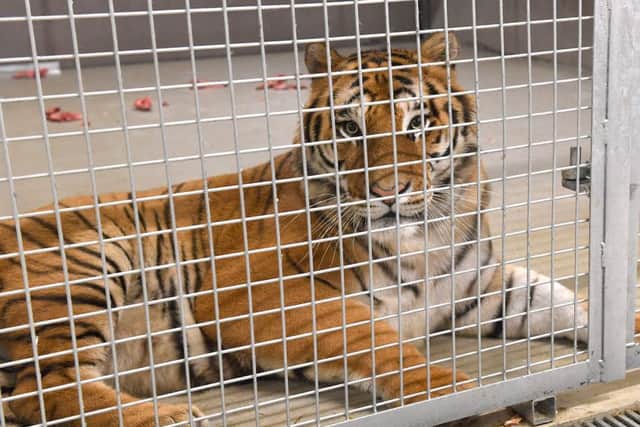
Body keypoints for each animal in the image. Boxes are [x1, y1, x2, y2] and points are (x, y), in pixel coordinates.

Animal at [1, 31, 638, 426]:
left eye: (417, 124)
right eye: (351, 127)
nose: (387, 192)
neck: (424, 237)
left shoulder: (482, 289)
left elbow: (572, 303)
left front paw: (626, 332)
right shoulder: (268, 295)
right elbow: (376, 344)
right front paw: (456, 392)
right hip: (87, 265)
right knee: (42, 390)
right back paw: (167, 415)